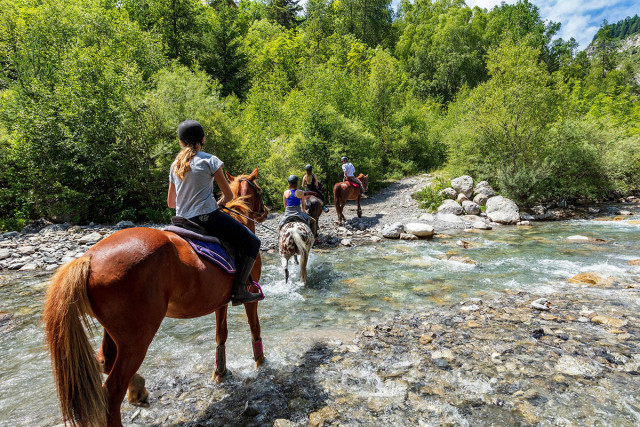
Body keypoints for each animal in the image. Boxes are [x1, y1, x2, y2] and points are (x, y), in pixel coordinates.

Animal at [43, 168, 268, 427]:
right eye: (260, 191)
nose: (265, 212)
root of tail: (89, 258)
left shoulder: (219, 301)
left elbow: (221, 335)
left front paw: (220, 372)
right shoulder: (250, 296)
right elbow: (254, 327)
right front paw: (261, 362)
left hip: (115, 331)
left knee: (104, 361)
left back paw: (138, 388)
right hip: (137, 338)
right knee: (112, 390)